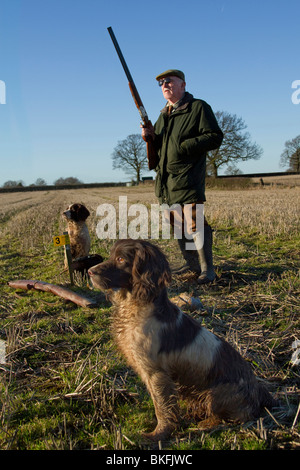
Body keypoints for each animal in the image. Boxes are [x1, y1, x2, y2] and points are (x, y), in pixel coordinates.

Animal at [88, 241, 276, 442]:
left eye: (121, 259)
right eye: (111, 256)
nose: (90, 271)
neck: (137, 307)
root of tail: (258, 390)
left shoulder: (156, 373)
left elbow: (162, 408)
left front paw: (158, 434)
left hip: (215, 393)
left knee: (237, 415)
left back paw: (206, 423)